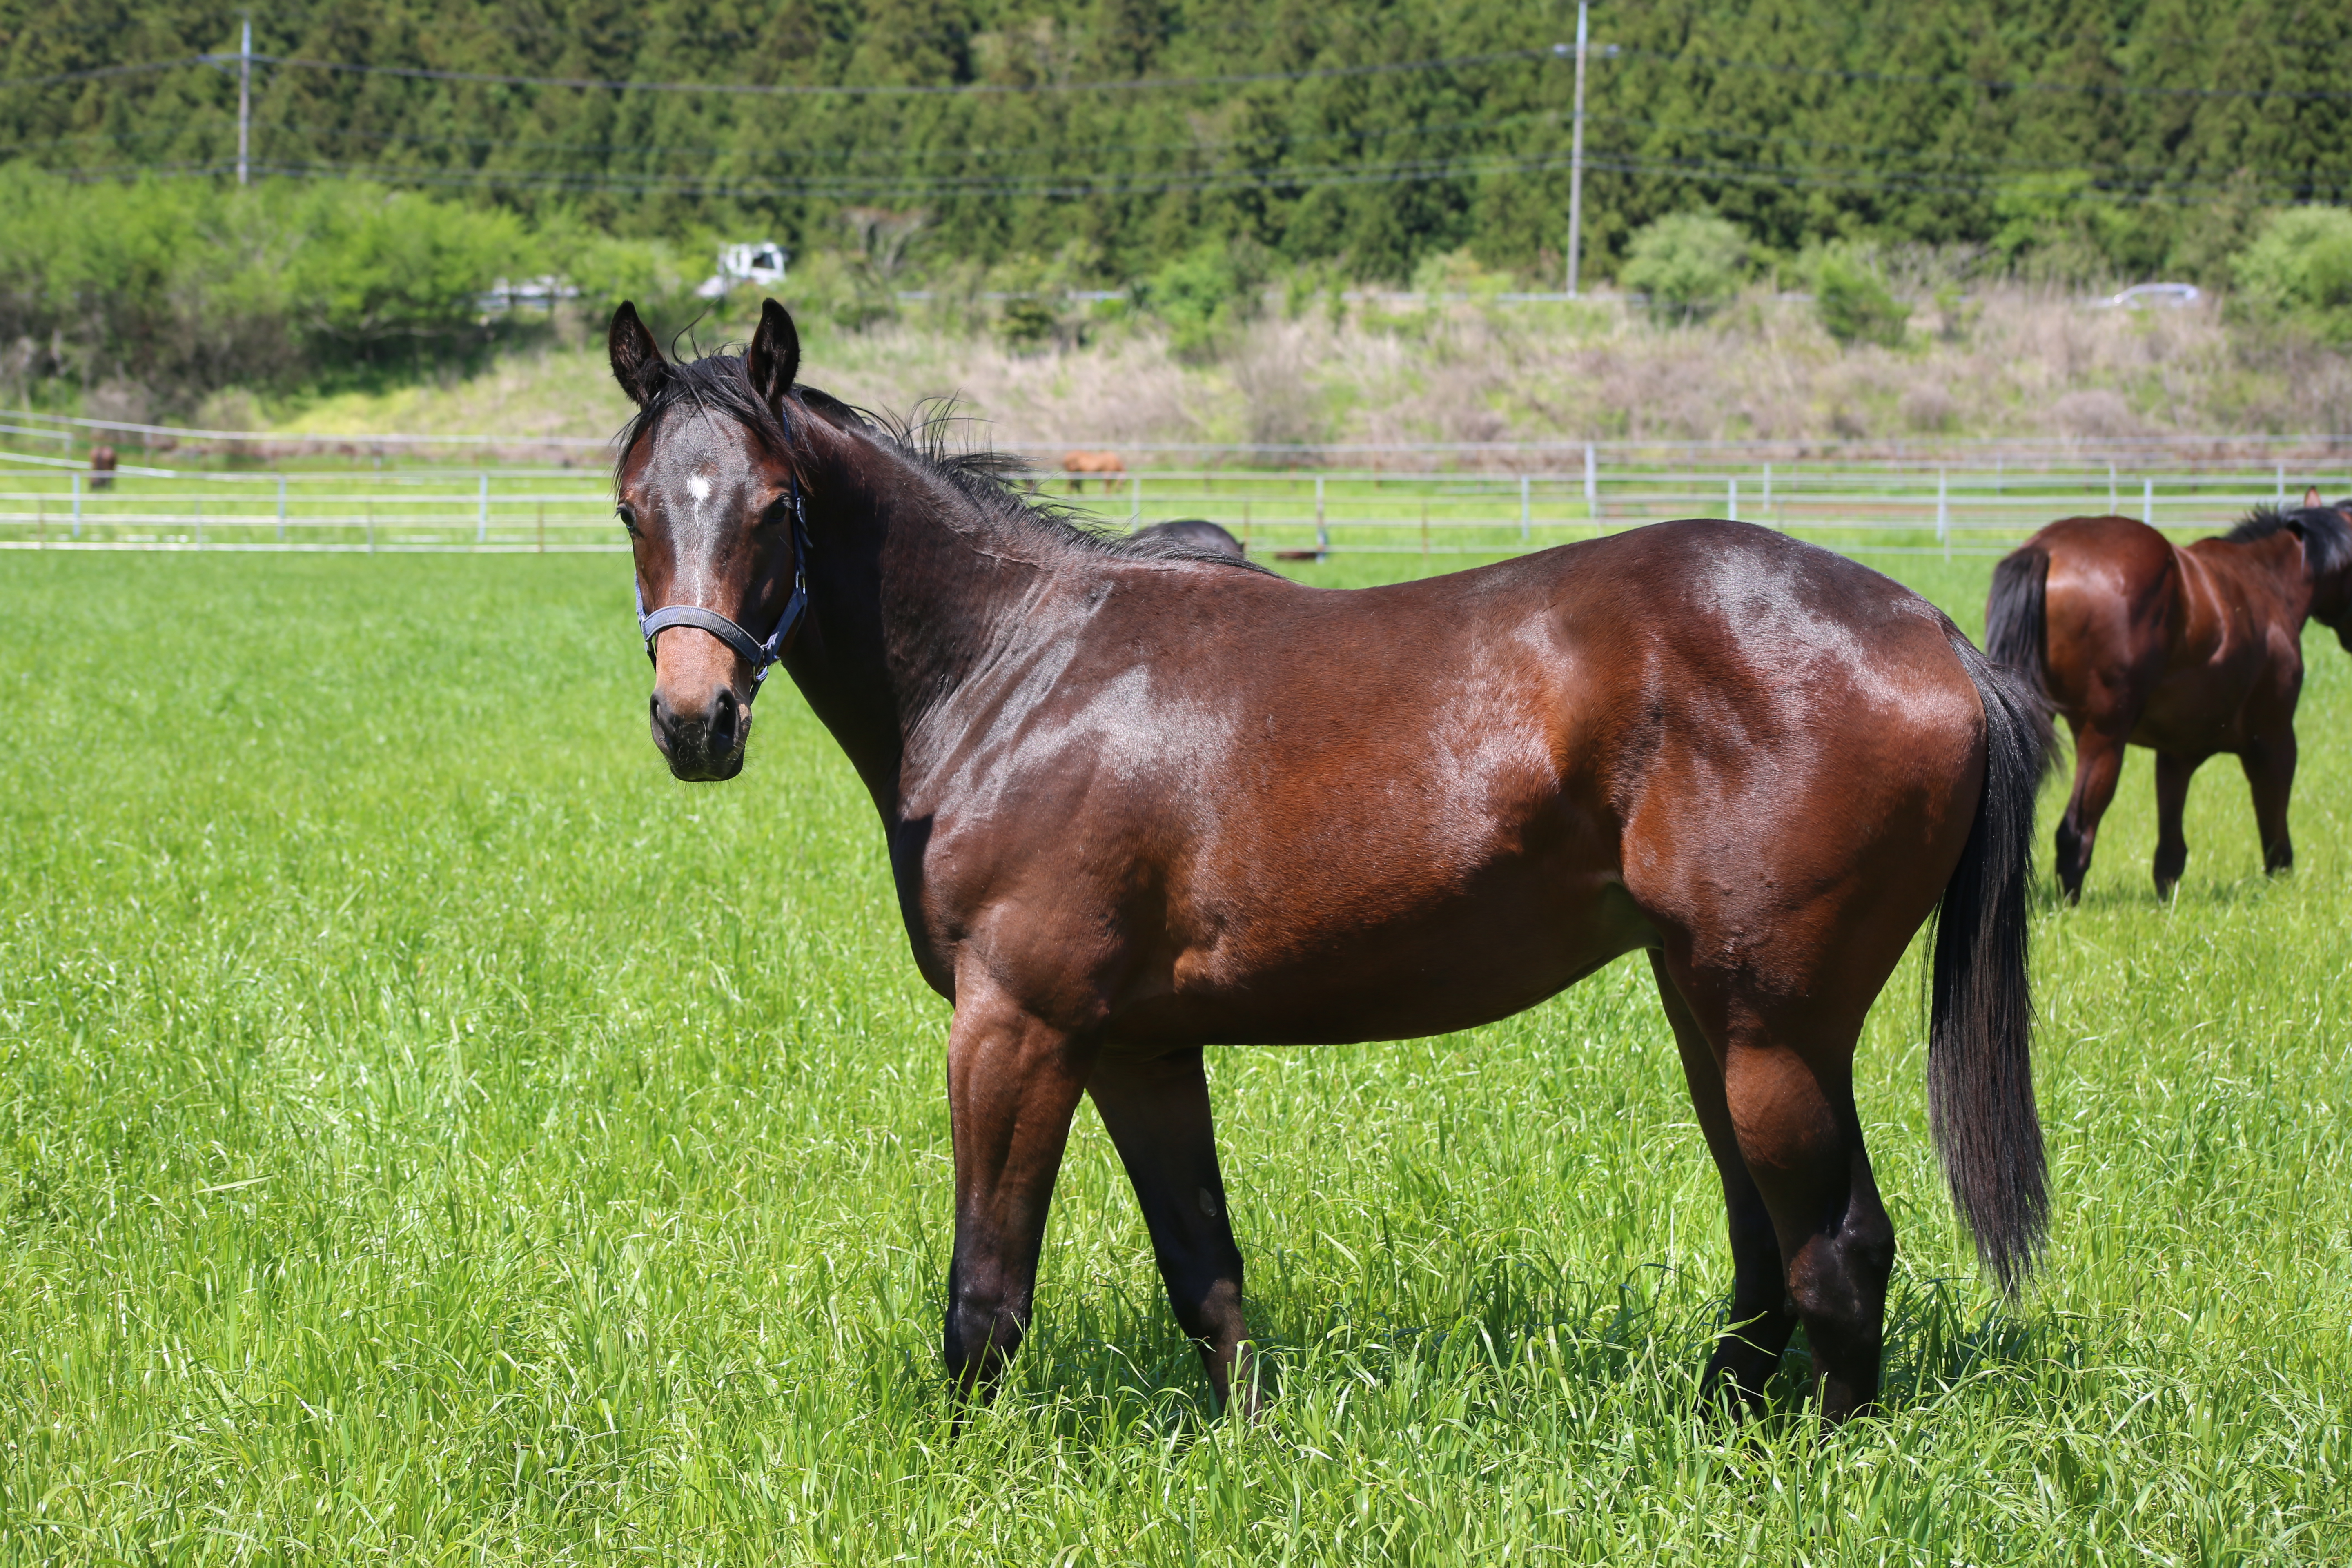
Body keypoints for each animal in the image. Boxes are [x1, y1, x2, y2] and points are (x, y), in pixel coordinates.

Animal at [616, 301, 2051, 1429]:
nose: (694, 722)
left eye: (773, 507)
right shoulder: (1137, 1045)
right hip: (1709, 1012)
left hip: (1774, 1029)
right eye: (633, 507)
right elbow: (1203, 1268)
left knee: (1839, 1250)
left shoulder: (1016, 1026)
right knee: (1769, 1249)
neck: (1019, 667)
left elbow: (987, 1294)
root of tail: (1934, 640)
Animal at [1985, 491, 2352, 907]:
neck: (2267, 581)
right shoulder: (2273, 740)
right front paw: (2282, 887)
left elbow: (2171, 847)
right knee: (2075, 831)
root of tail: (2048, 548)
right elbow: (2274, 825)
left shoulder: (2177, 756)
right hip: (2105, 737)